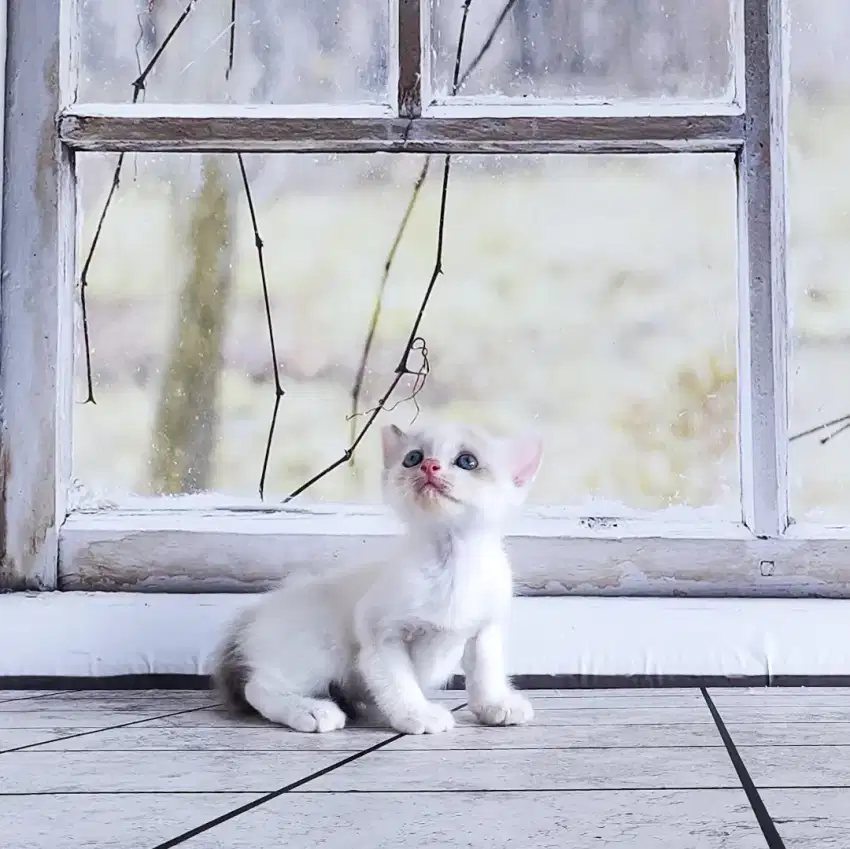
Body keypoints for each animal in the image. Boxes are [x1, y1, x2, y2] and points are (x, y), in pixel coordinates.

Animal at [214, 414, 544, 732]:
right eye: (413, 457)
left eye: (467, 461)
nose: (428, 465)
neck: (450, 564)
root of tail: (253, 615)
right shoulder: (381, 632)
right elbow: (399, 682)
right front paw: (418, 714)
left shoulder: (484, 630)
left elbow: (485, 672)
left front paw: (495, 705)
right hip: (319, 650)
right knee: (259, 687)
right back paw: (313, 710)